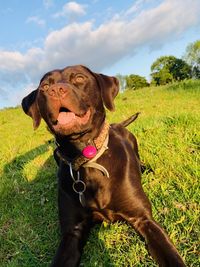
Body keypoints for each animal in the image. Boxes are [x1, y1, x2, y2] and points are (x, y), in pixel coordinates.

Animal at [21, 65, 185, 267]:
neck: (87, 157)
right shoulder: (72, 232)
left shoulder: (143, 219)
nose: (56, 90)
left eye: (79, 78)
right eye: (44, 86)